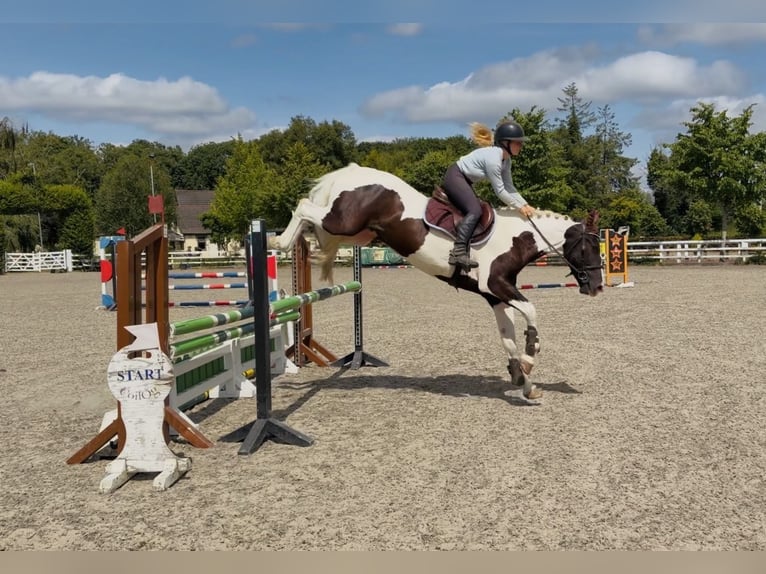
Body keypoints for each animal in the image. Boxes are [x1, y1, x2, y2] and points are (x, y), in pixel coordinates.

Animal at [270, 163, 603, 402]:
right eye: (587, 248)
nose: (597, 288)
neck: (515, 239)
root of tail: (352, 171)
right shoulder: (496, 286)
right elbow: (532, 311)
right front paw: (530, 357)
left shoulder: (495, 296)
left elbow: (507, 337)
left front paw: (523, 381)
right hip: (343, 222)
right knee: (304, 206)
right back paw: (279, 242)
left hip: (356, 233)